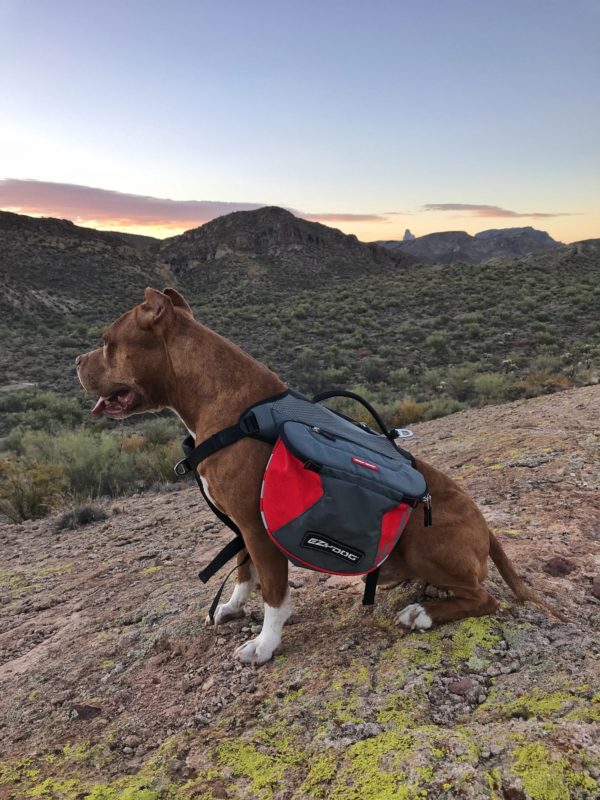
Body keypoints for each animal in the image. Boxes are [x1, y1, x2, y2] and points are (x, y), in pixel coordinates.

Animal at [77, 290, 564, 664]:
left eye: (107, 343)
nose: (78, 359)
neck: (225, 402)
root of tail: (488, 530)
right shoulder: (243, 528)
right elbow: (243, 573)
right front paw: (232, 607)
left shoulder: (256, 526)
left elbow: (273, 591)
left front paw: (265, 644)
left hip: (423, 539)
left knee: (485, 598)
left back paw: (421, 613)